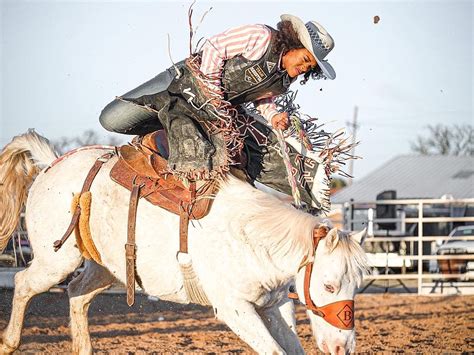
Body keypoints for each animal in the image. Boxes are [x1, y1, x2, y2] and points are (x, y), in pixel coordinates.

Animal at [0, 131, 368, 355]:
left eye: (356, 286)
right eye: (329, 285)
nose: (343, 347)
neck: (250, 237)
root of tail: (51, 165)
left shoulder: (274, 305)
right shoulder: (235, 308)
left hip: (106, 268)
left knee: (77, 294)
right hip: (56, 261)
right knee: (23, 283)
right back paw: (9, 342)